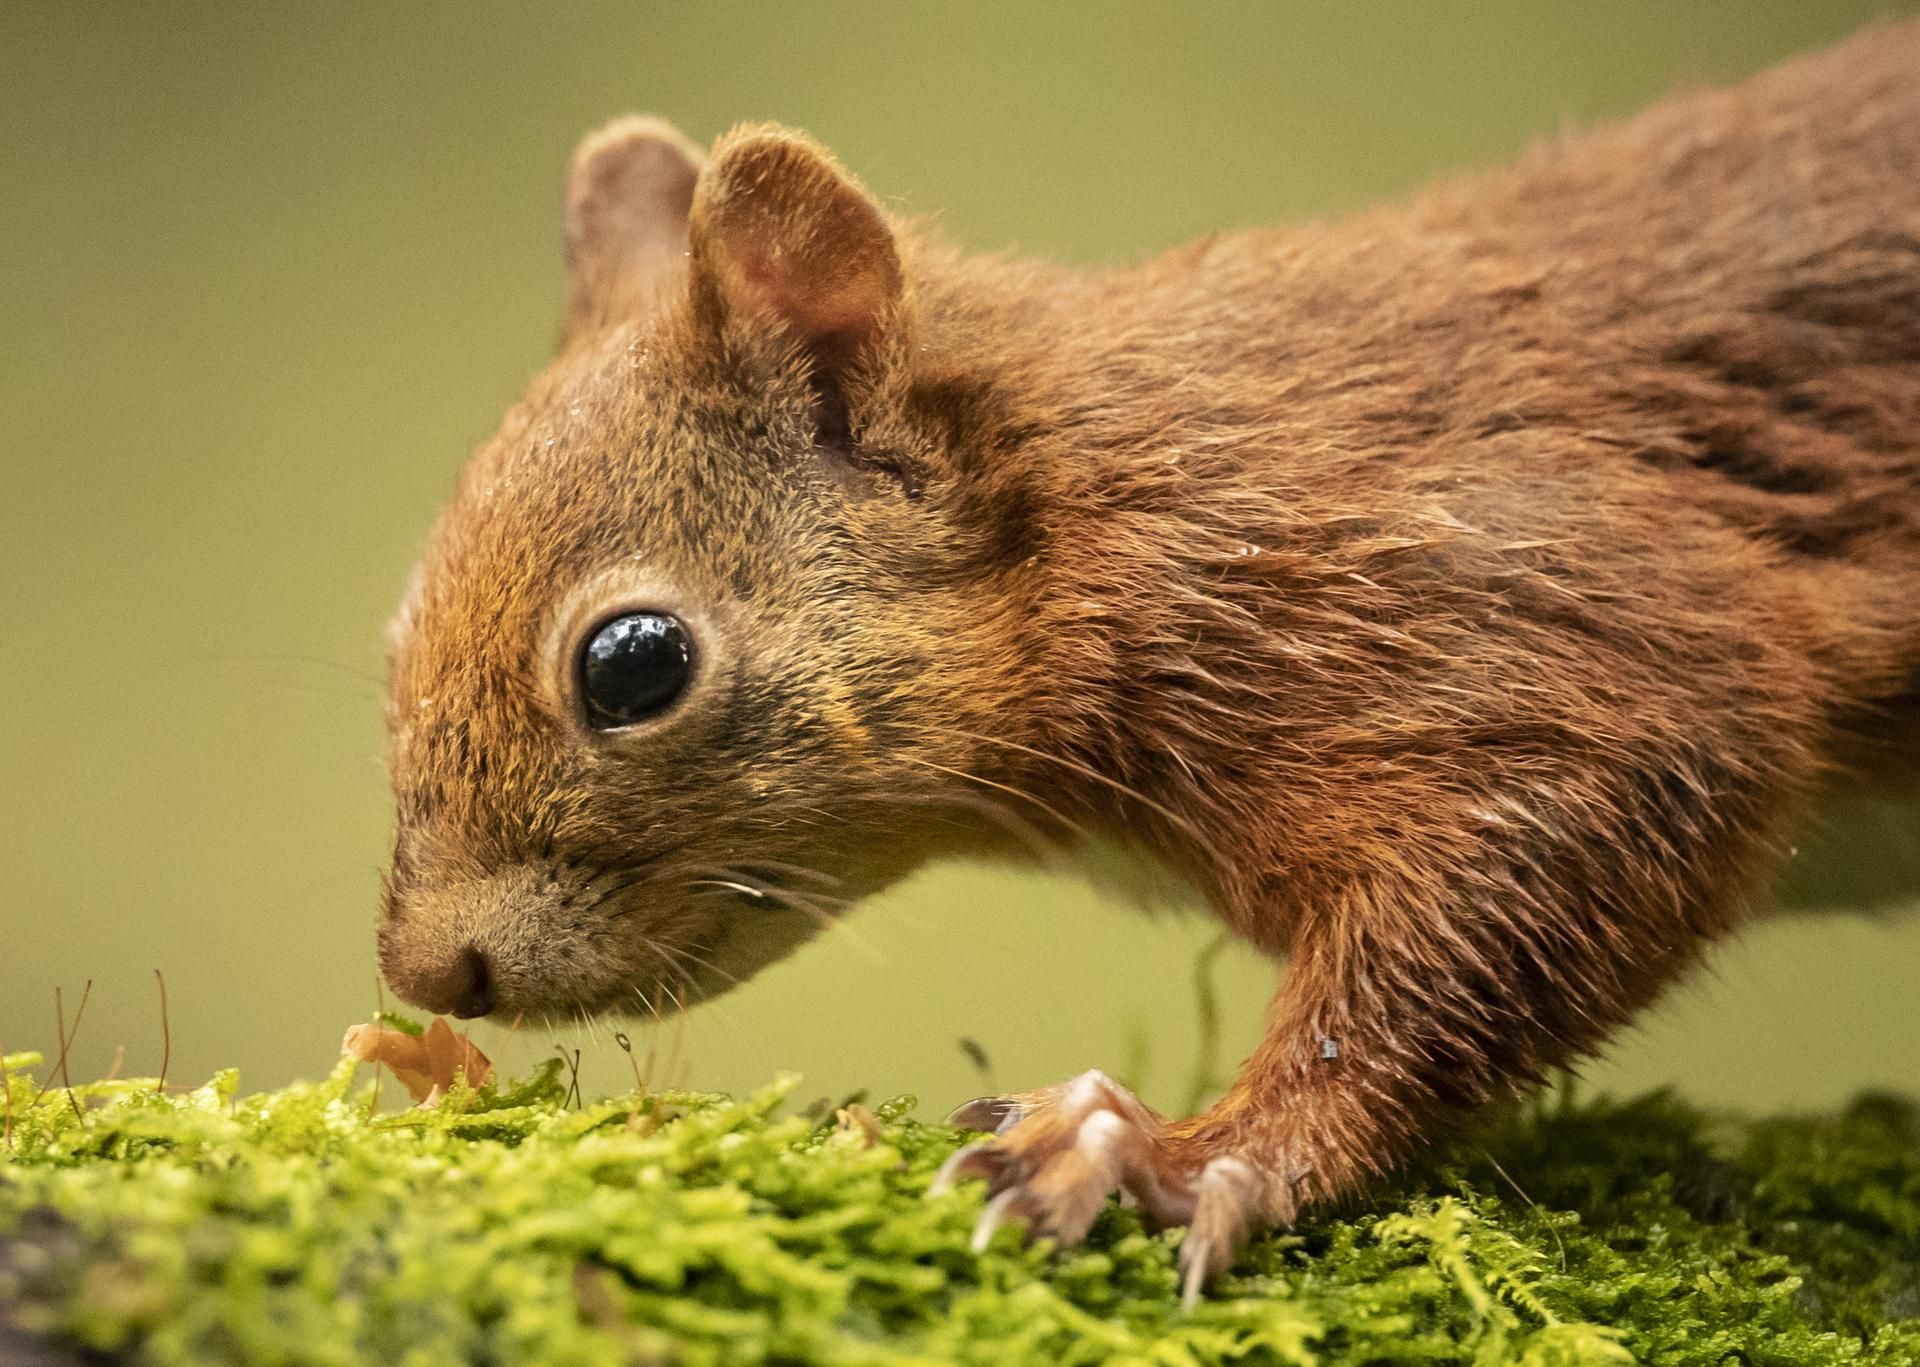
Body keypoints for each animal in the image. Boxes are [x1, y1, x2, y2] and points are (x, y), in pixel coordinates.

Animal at [377, 19, 1920, 1300]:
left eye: (635, 664)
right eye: (395, 627)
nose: (428, 970)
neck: (1124, 495)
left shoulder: (1528, 603)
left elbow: (1545, 859)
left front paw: (1168, 1149)